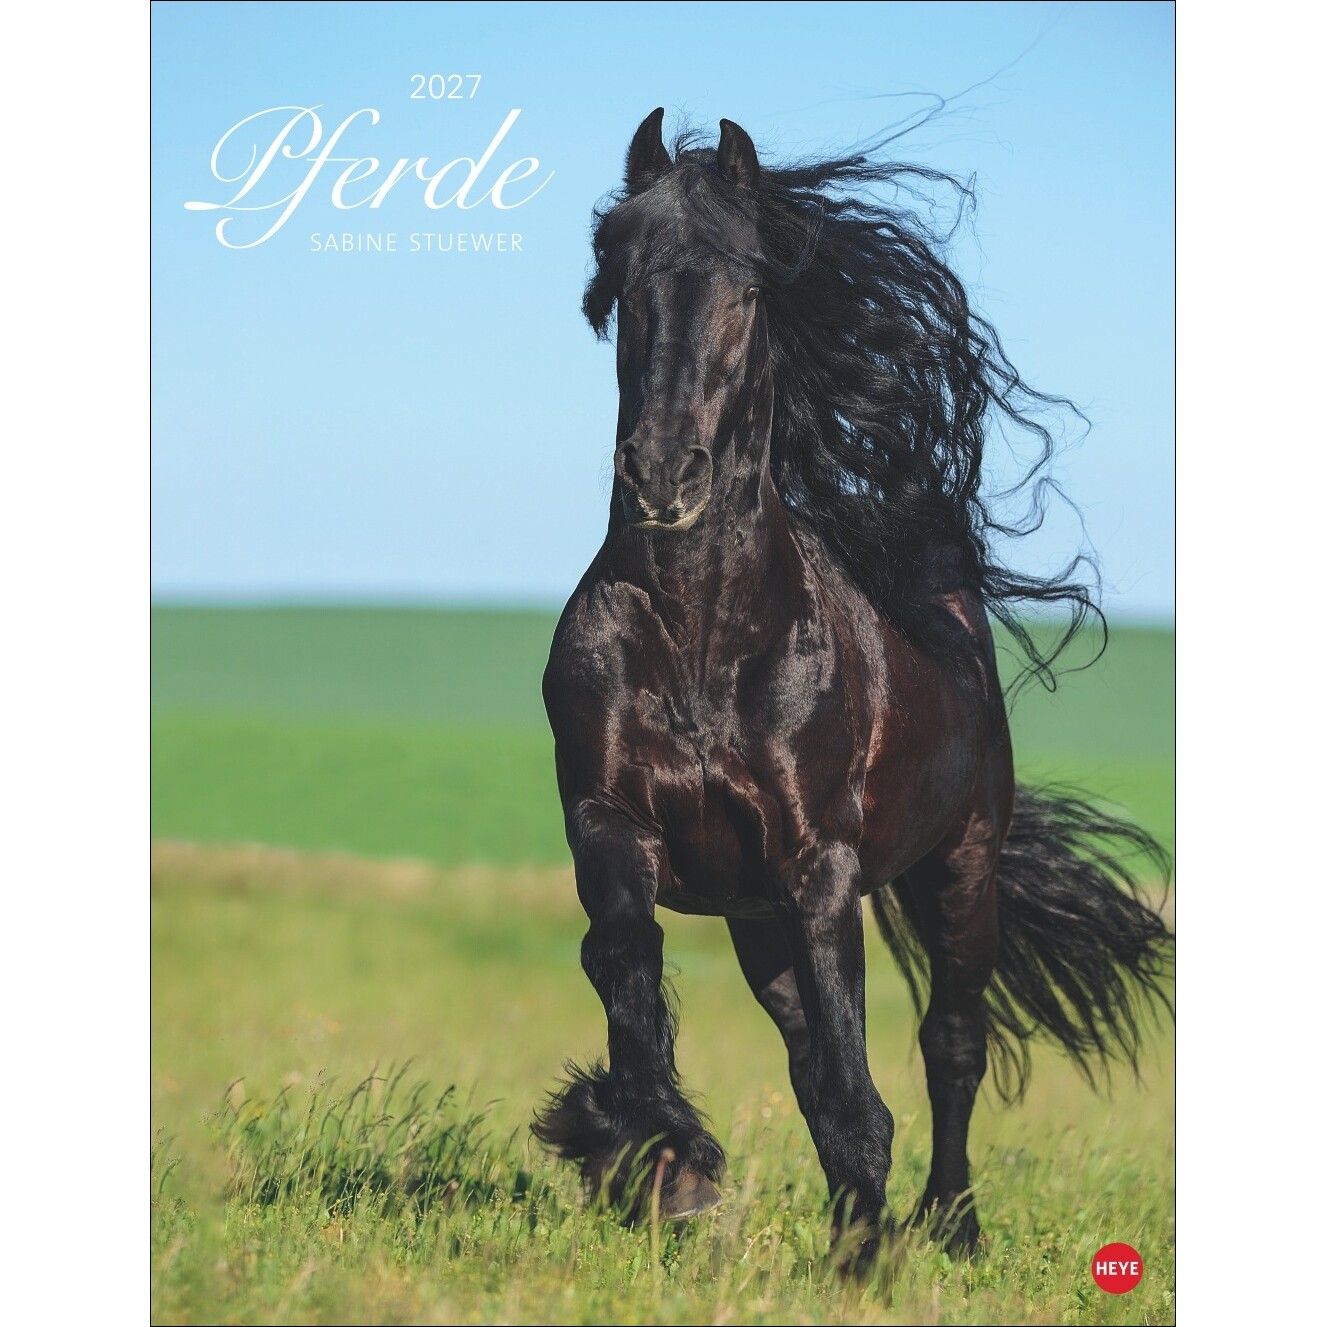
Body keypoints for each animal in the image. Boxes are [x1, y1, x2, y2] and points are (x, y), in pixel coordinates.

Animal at [533, 109, 1171, 1264]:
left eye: (747, 289)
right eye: (621, 282)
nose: (663, 474)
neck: (702, 637)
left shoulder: (818, 866)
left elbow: (855, 1079)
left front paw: (862, 1250)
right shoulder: (610, 824)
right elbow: (628, 967)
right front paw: (655, 1157)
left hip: (958, 869)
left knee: (951, 1044)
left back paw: (948, 1226)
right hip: (757, 919)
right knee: (803, 1047)